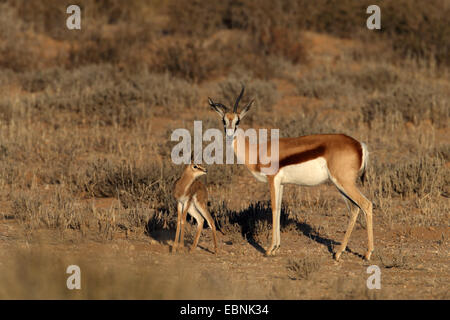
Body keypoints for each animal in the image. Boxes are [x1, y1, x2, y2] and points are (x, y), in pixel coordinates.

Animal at [207, 87, 372, 260]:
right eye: (224, 121)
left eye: (238, 121)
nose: (229, 136)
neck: (258, 151)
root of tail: (359, 145)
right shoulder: (281, 184)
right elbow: (279, 210)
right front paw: (276, 248)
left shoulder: (272, 180)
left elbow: (273, 209)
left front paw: (269, 249)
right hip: (340, 185)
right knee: (355, 209)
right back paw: (339, 252)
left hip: (344, 183)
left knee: (366, 204)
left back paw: (367, 253)